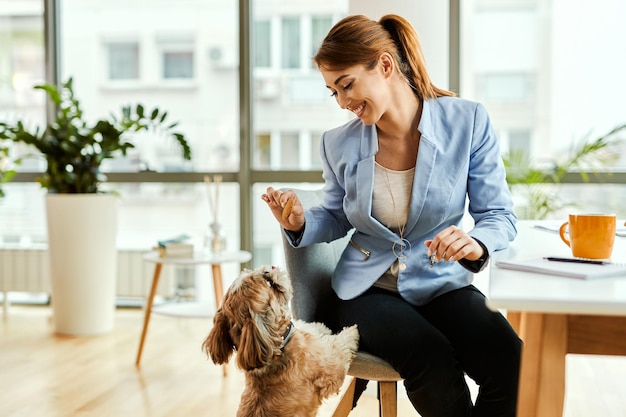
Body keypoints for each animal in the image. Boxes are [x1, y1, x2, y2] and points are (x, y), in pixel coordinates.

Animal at [200, 264, 356, 414]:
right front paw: (352, 331)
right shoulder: (331, 367)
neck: (281, 343)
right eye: (270, 283)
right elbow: (340, 346)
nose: (271, 268)